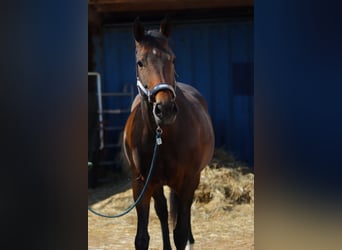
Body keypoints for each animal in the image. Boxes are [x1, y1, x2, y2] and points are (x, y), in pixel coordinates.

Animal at [123, 18, 214, 250]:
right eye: (140, 62)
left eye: (172, 59)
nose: (165, 109)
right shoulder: (141, 184)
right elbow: (142, 238)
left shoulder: (187, 180)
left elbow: (179, 233)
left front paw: (185, 239)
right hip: (156, 184)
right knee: (163, 212)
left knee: (184, 213)